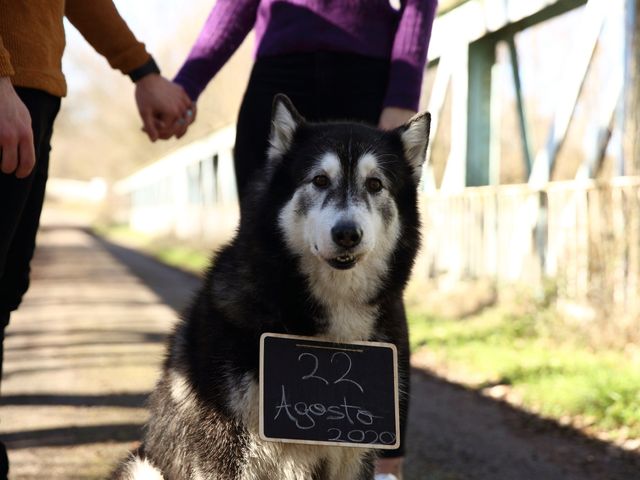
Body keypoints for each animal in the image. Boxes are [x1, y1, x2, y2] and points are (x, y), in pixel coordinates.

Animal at [113, 94, 430, 480]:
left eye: (375, 184)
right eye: (319, 180)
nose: (347, 234)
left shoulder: (354, 450)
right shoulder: (222, 447)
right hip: (143, 465)